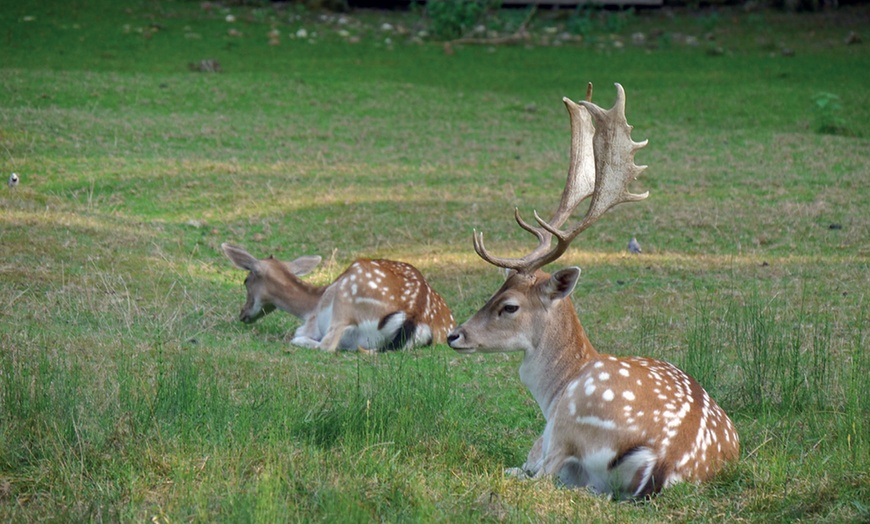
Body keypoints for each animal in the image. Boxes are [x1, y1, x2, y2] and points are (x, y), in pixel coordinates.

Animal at [221, 243, 456, 352]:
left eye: (246, 280)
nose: (242, 314)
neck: (311, 305)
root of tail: (415, 314)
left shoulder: (313, 323)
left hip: (346, 301)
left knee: (327, 345)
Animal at [450, 84, 744, 498]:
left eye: (509, 306)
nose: (454, 335)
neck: (555, 388)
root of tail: (666, 459)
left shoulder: (548, 439)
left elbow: (527, 468)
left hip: (570, 428)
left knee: (542, 476)